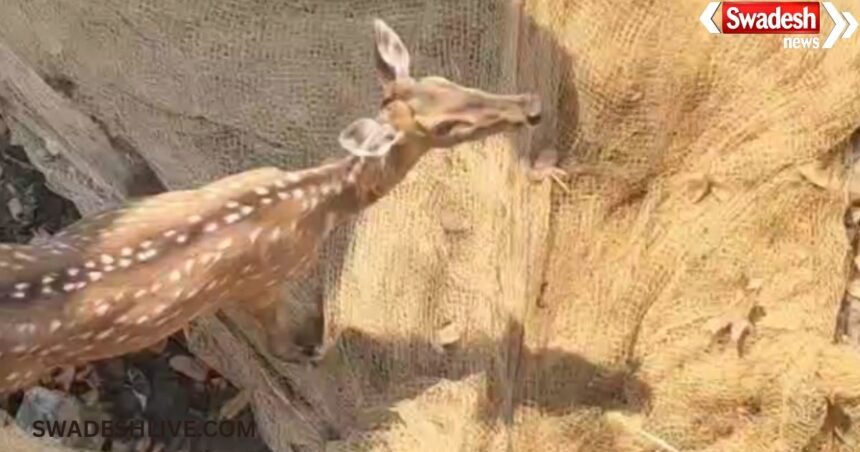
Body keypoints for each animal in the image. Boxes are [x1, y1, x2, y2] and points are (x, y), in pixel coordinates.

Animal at [0, 18, 551, 394]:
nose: (532, 107)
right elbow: (276, 340)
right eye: (446, 127)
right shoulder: (262, 281)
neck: (314, 204)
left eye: (447, 82)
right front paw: (306, 352)